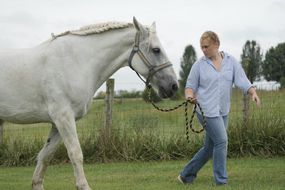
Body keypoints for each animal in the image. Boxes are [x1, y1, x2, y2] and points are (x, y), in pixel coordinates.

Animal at [0, 17, 176, 189]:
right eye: (156, 50)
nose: (173, 86)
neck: (76, 62)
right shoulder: (63, 118)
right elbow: (75, 153)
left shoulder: (56, 123)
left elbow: (45, 156)